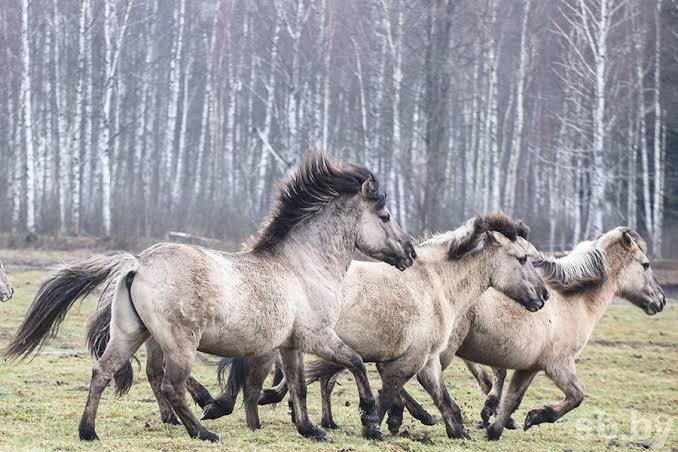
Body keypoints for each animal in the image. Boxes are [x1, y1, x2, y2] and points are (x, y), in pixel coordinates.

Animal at [4, 151, 417, 443]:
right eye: (385, 216)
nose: (410, 252)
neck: (301, 268)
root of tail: (137, 264)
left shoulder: (290, 345)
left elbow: (297, 385)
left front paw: (309, 429)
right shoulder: (317, 337)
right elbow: (356, 363)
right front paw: (369, 420)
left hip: (131, 334)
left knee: (102, 373)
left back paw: (88, 432)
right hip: (180, 343)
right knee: (170, 385)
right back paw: (203, 431)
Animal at [128, 213, 550, 439]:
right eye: (523, 258)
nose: (544, 297)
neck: (433, 285)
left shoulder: (425, 361)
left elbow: (445, 401)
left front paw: (457, 431)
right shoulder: (407, 359)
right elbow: (387, 393)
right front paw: (377, 424)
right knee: (235, 378)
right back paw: (217, 409)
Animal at [387, 227, 667, 440]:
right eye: (645, 265)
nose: (661, 301)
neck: (571, 300)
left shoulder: (530, 367)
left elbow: (513, 398)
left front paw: (495, 430)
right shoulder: (559, 364)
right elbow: (576, 396)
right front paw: (535, 417)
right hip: (441, 351)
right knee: (410, 377)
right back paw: (414, 417)